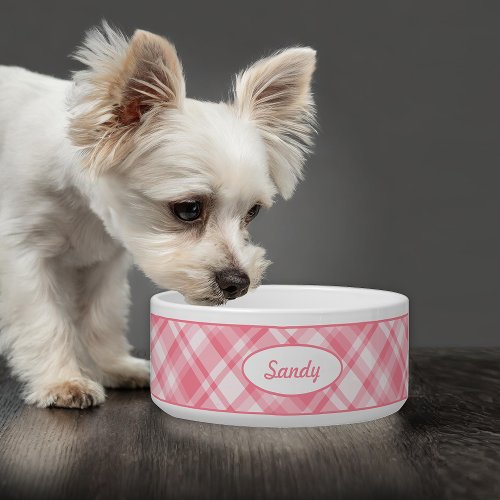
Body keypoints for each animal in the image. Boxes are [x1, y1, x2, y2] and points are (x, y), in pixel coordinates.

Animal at [0, 21, 316, 408]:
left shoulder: (103, 264)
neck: (84, 212)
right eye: (188, 209)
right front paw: (63, 381)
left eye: (252, 212)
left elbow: (100, 318)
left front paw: (113, 367)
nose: (237, 283)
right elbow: (45, 320)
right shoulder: (24, 256)